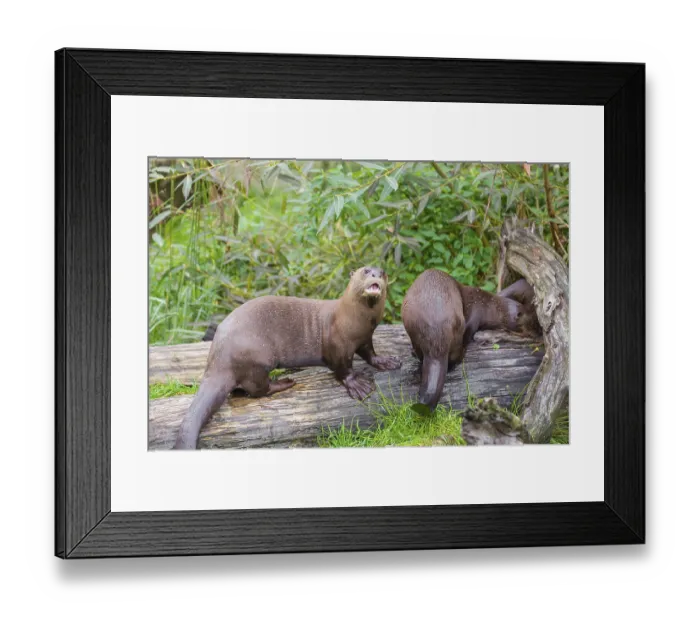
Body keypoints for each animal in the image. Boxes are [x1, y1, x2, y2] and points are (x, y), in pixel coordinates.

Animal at [174, 267, 401, 449]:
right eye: (366, 271)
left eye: (383, 272)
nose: (376, 275)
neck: (356, 321)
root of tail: (217, 357)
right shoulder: (337, 345)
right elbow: (342, 368)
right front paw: (357, 384)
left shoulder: (364, 338)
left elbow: (370, 354)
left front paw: (386, 361)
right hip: (258, 358)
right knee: (257, 390)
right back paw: (284, 382)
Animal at [402, 269, 538, 410]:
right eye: (531, 324)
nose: (537, 333)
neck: (488, 307)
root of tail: (436, 337)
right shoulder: (475, 313)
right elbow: (470, 332)